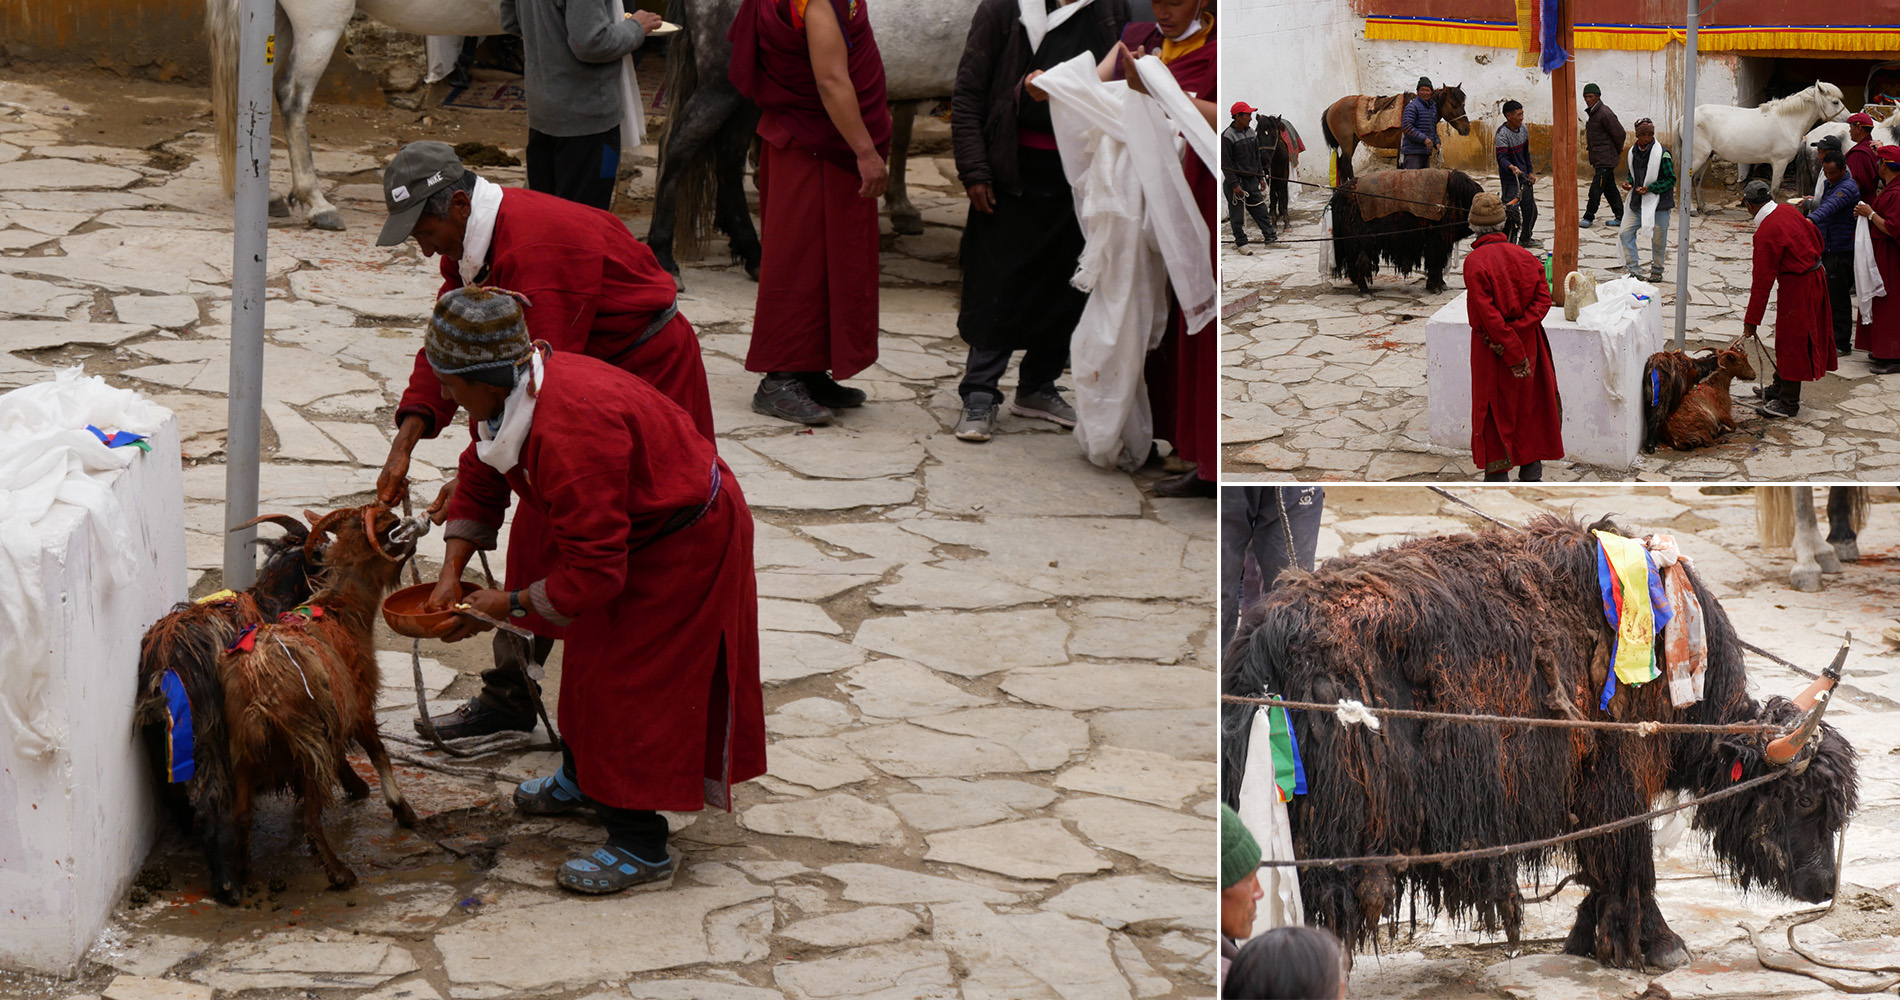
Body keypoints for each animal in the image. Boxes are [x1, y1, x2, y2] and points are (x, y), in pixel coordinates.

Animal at [218, 509, 419, 893]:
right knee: (312, 820)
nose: (409, 527)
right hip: (307, 744)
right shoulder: (359, 703)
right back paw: (340, 873)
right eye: (384, 526)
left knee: (241, 816)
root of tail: (257, 693)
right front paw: (402, 809)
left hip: (243, 753)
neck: (341, 609)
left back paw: (241, 874)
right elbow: (379, 753)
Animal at [1687, 81, 1846, 215]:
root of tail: (1686, 117)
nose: (1847, 118)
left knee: (1696, 179)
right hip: (1698, 157)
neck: (1787, 122)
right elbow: (1774, 189)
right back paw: (1691, 209)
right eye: (1835, 102)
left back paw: (1703, 207)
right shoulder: (1780, 163)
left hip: (1707, 156)